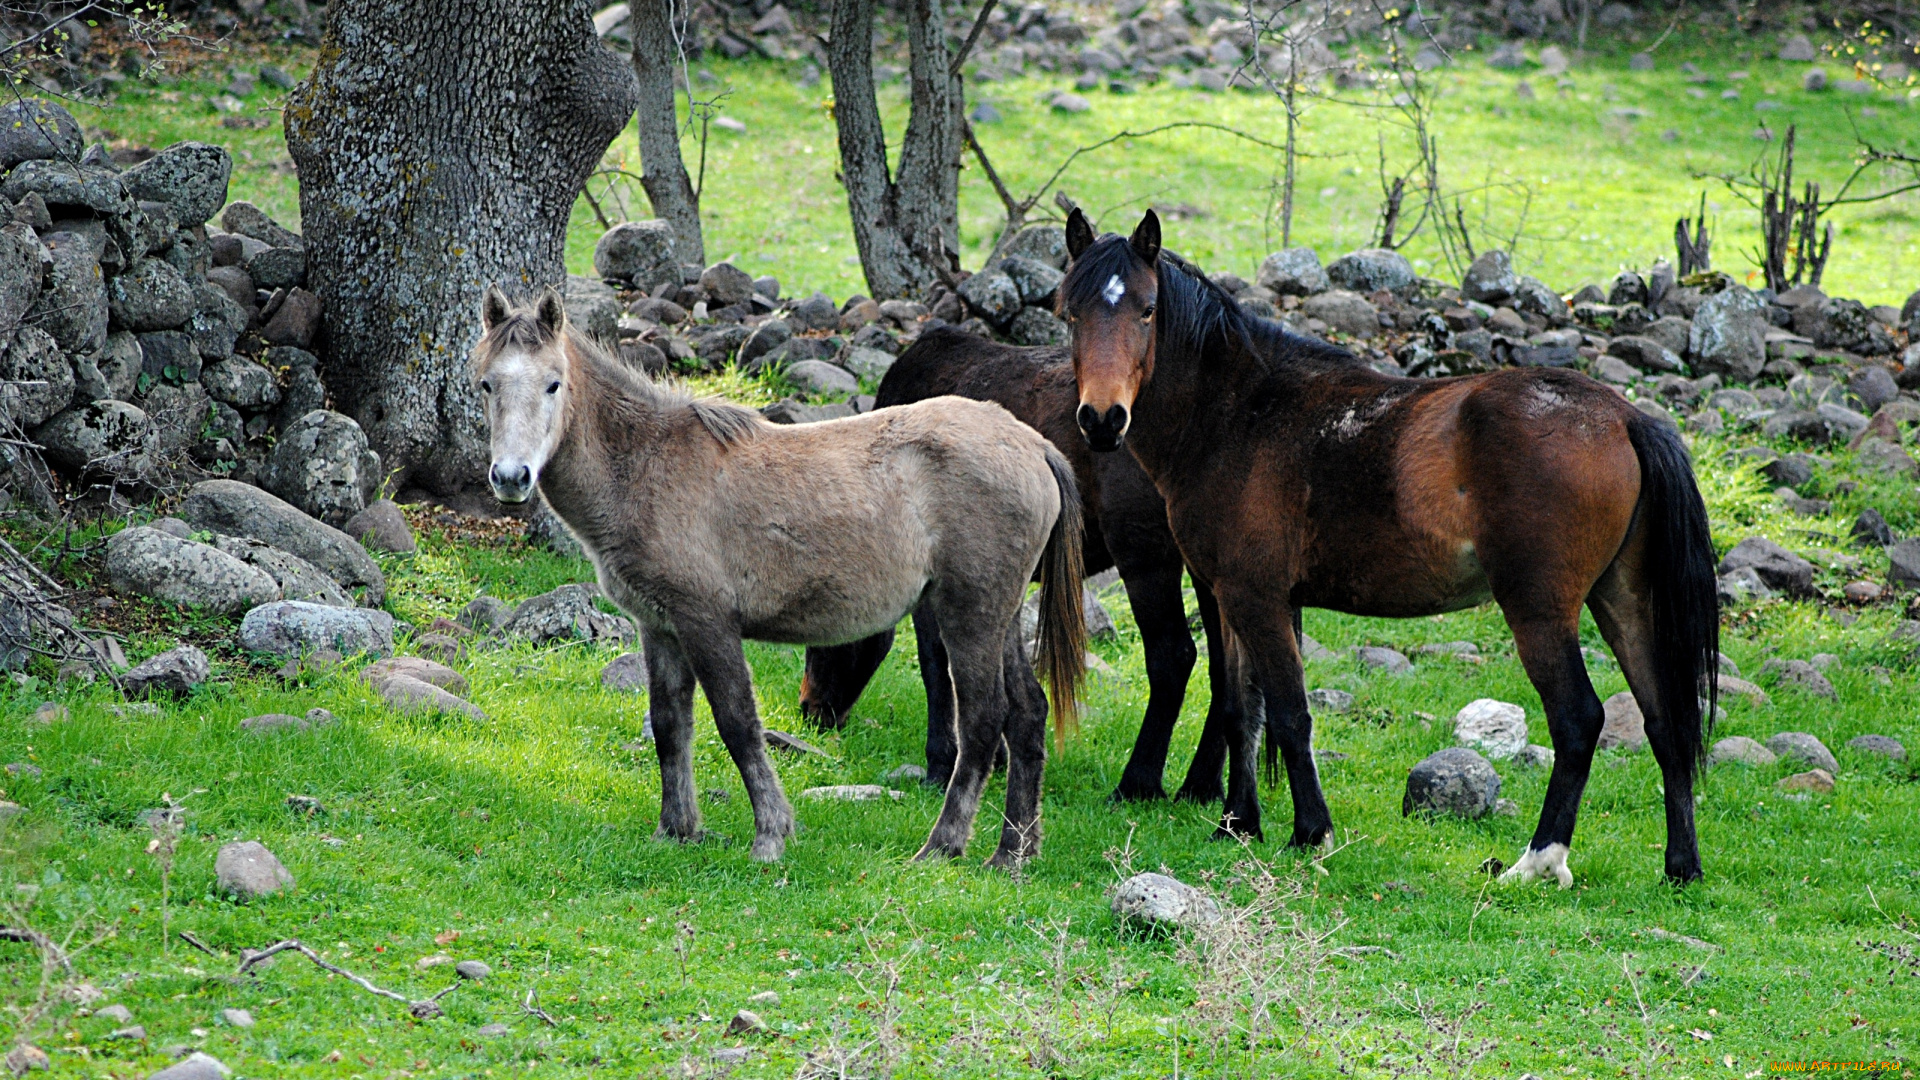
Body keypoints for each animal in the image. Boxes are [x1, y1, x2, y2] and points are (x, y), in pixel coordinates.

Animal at [474, 286, 1090, 864]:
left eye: (553, 384)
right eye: (485, 385)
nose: (510, 477)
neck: (648, 466)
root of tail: (1033, 445)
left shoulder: (707, 623)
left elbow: (737, 724)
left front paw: (770, 835)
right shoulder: (660, 628)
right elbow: (671, 726)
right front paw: (676, 831)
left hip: (969, 616)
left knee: (984, 721)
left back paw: (942, 846)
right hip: (999, 617)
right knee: (1028, 713)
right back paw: (1011, 854)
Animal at [794, 322, 1259, 803]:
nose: (809, 709)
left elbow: (936, 664)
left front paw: (942, 762)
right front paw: (996, 755)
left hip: (1145, 555)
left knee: (1173, 657)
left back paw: (1137, 783)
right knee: (1227, 670)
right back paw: (1200, 785)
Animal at [1059, 210, 1720, 883]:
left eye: (1146, 310)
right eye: (1070, 313)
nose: (1102, 420)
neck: (1240, 415)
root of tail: (1622, 417)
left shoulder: (1257, 598)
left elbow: (1290, 713)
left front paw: (1310, 832)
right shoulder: (1228, 597)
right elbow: (1244, 710)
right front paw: (1237, 825)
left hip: (1539, 610)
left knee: (1579, 720)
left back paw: (1538, 860)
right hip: (1623, 601)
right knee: (1665, 722)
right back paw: (1682, 865)